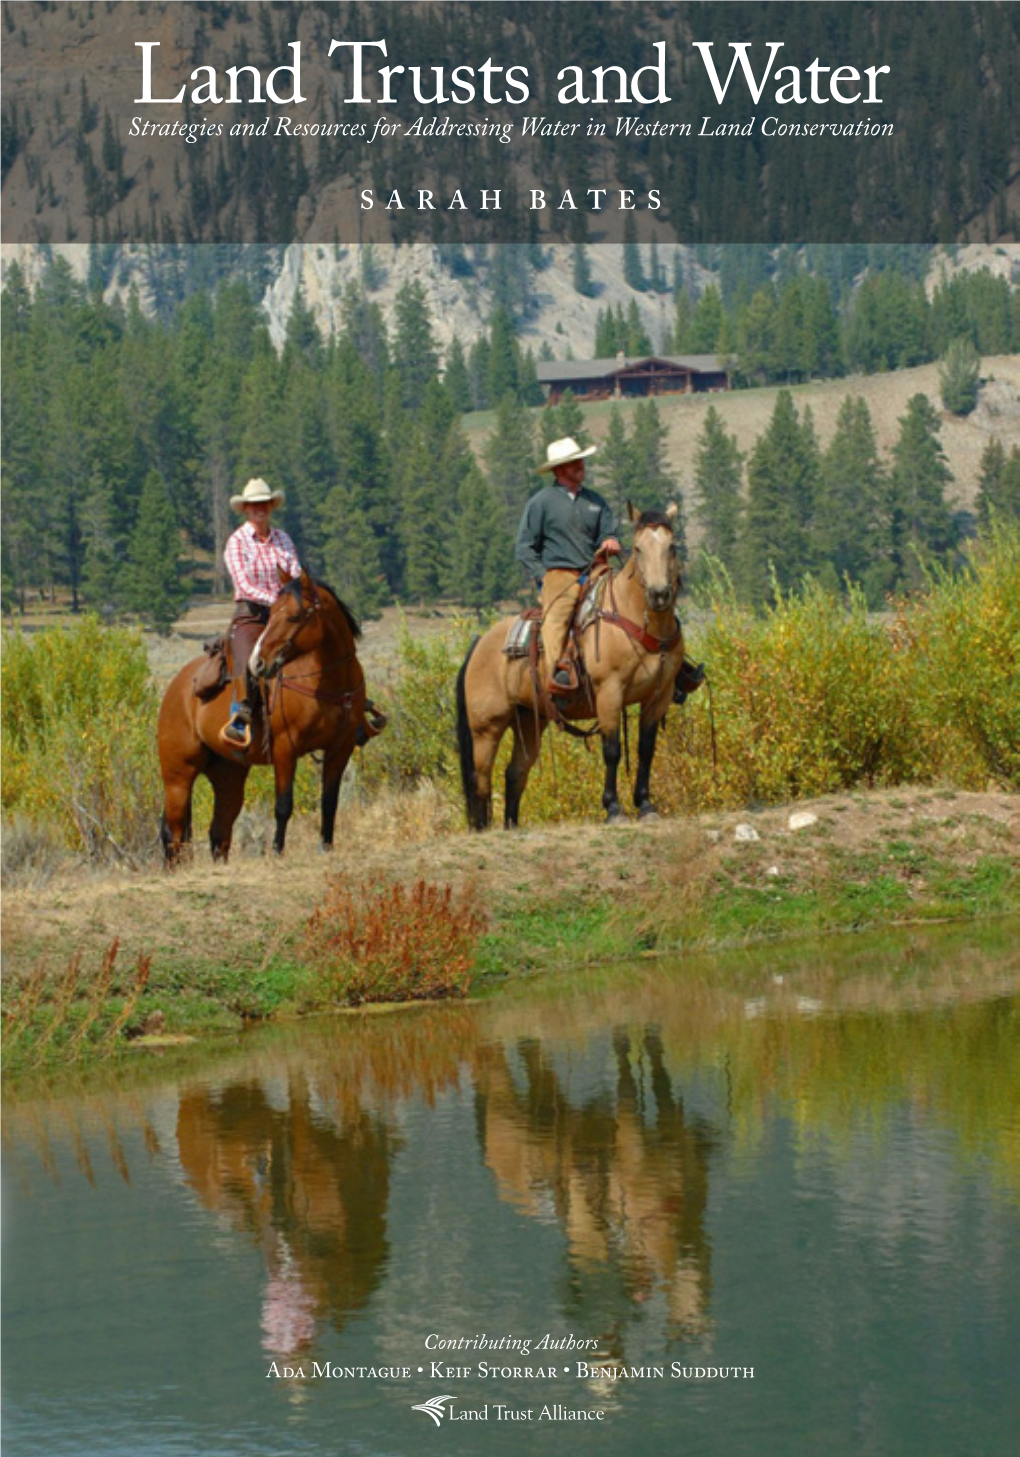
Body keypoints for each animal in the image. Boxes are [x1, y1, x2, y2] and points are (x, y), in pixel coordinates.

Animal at [157, 571, 381, 862]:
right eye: (272, 612)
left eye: (295, 616)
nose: (258, 663)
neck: (329, 682)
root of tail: (176, 686)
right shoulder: (286, 749)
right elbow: (283, 805)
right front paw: (277, 851)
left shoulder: (340, 748)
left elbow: (329, 802)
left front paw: (326, 846)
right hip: (178, 776)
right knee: (173, 834)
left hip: (228, 775)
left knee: (219, 831)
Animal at [457, 501, 690, 827]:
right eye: (638, 548)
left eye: (671, 547)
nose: (658, 594)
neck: (636, 620)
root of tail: (479, 644)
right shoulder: (609, 693)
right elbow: (612, 750)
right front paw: (613, 808)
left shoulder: (659, 696)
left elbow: (646, 749)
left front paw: (645, 805)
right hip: (486, 727)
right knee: (480, 779)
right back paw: (483, 829)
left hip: (528, 720)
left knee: (515, 773)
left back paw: (512, 826)